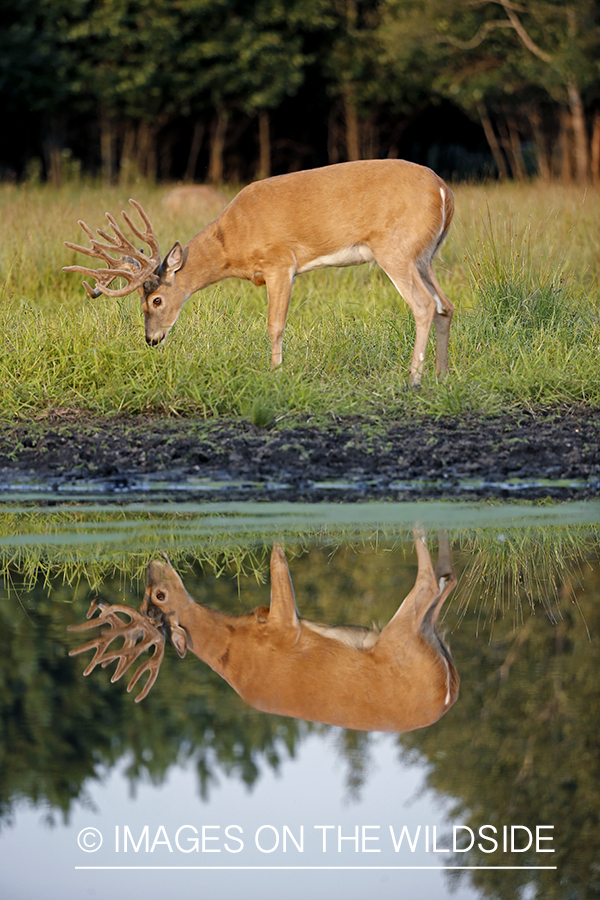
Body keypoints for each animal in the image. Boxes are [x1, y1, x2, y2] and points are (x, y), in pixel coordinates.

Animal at [62, 160, 454, 384]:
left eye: (156, 300)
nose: (151, 339)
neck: (234, 242)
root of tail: (444, 190)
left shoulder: (280, 262)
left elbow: (275, 324)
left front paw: (275, 374)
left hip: (395, 249)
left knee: (423, 304)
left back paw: (413, 379)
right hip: (425, 255)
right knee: (445, 306)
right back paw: (441, 375)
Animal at [67, 532, 460, 736]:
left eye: (157, 595)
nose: (152, 562)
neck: (232, 646)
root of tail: (447, 694)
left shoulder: (280, 621)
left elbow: (276, 559)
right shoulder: (284, 626)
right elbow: (277, 558)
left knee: (445, 578)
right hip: (401, 638)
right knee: (434, 580)